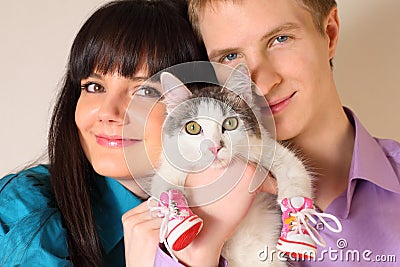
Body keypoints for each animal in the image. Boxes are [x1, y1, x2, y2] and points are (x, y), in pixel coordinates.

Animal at [149, 63, 312, 266]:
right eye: (193, 128)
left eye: (230, 123)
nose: (215, 147)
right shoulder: (170, 168)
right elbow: (165, 189)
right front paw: (181, 223)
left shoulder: (267, 148)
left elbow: (294, 177)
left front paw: (298, 228)